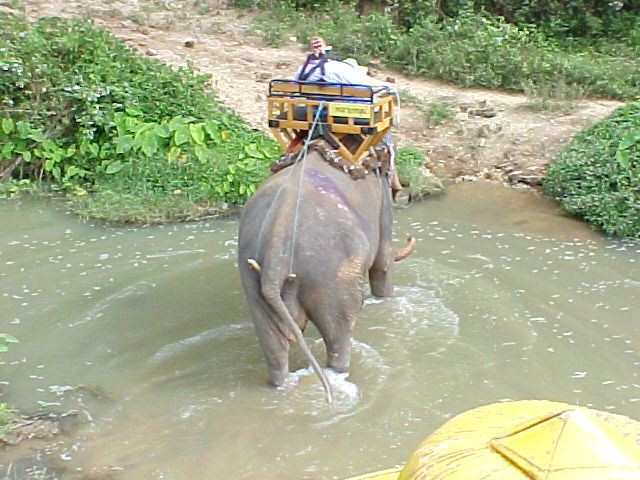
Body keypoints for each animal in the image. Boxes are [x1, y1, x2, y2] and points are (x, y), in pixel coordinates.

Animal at [237, 139, 415, 403]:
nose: (411, 237)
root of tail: (277, 239)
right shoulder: (383, 205)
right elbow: (382, 264)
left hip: (251, 278)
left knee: (274, 349)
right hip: (331, 276)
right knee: (338, 335)